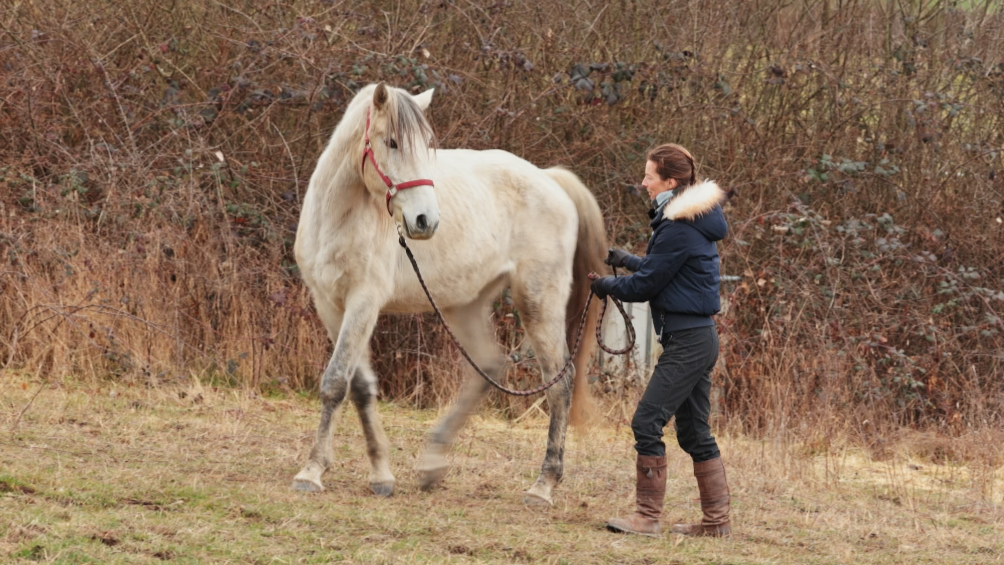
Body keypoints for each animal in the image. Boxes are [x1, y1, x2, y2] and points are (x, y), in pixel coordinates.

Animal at [291, 82, 607, 506]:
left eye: (428, 145)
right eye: (392, 142)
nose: (425, 221)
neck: (338, 217)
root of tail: (550, 180)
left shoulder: (363, 302)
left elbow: (336, 382)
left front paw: (311, 472)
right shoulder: (330, 304)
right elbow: (358, 386)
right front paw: (380, 475)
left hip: (538, 301)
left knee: (560, 381)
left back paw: (543, 485)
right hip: (465, 305)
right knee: (488, 366)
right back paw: (432, 465)